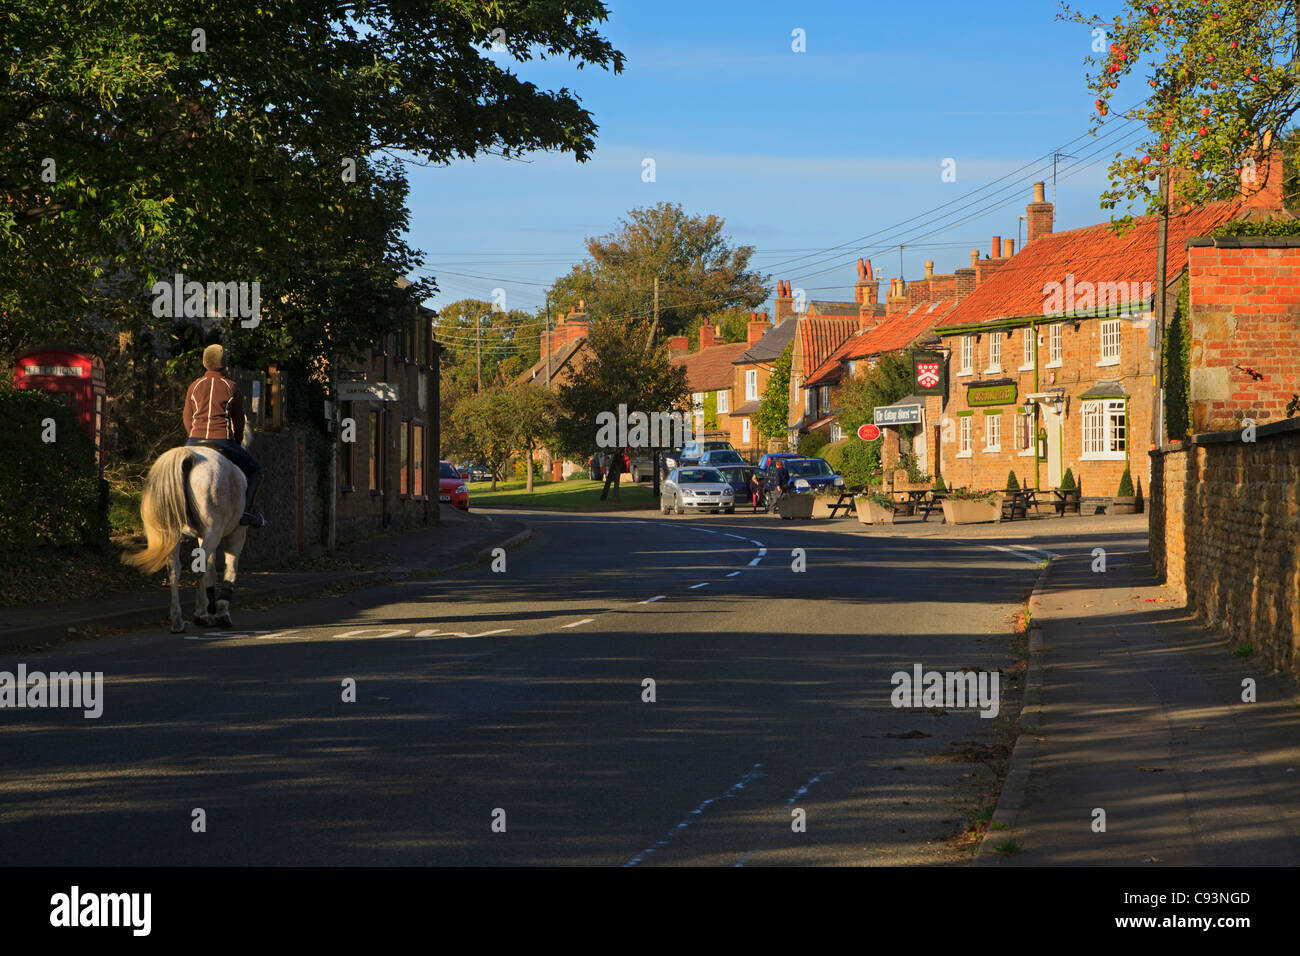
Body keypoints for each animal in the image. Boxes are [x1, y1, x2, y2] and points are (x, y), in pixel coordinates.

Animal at [124, 431, 250, 629]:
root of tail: (189, 456)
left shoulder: (203, 536)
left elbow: (211, 569)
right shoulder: (237, 534)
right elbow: (229, 569)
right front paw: (221, 612)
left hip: (173, 535)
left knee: (174, 570)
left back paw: (178, 619)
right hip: (214, 531)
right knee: (199, 568)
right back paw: (199, 615)